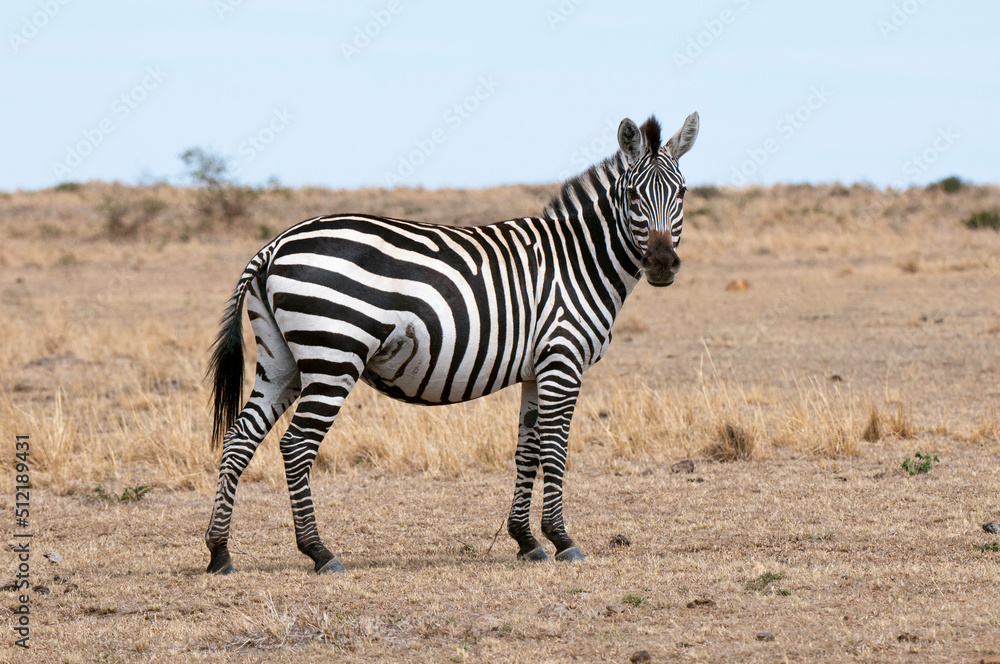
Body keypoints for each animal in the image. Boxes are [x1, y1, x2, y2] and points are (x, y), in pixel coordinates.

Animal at [205, 112, 700, 574]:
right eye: (633, 197)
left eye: (681, 194)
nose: (661, 264)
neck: (580, 260)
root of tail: (274, 245)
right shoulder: (563, 360)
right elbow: (555, 449)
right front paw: (562, 539)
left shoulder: (536, 370)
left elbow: (528, 450)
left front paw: (526, 540)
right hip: (334, 356)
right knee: (296, 445)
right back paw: (319, 552)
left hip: (282, 361)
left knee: (239, 438)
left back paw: (219, 551)